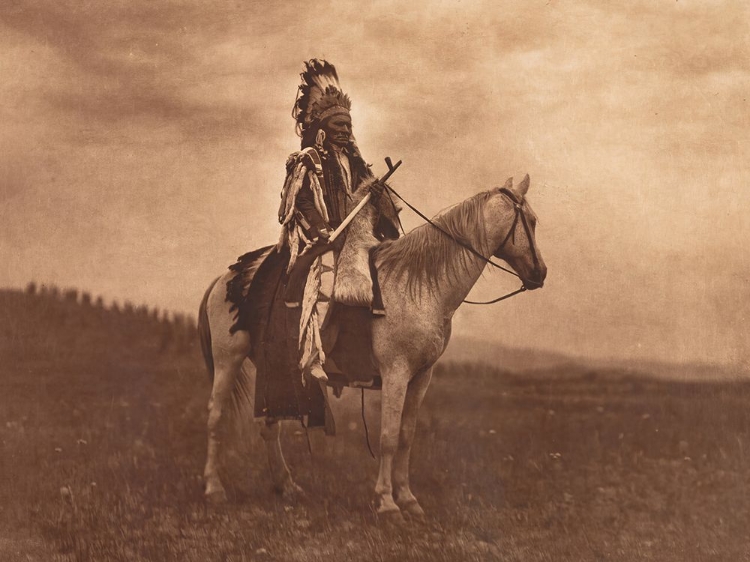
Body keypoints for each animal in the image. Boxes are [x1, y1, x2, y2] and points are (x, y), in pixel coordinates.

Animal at [200, 174, 548, 520]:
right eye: (531, 220)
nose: (540, 273)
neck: (420, 285)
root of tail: (224, 278)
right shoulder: (396, 372)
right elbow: (388, 437)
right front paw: (386, 501)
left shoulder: (421, 378)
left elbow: (406, 437)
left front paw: (407, 498)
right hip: (228, 359)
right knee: (216, 418)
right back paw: (214, 489)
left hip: (272, 369)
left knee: (269, 426)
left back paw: (286, 486)